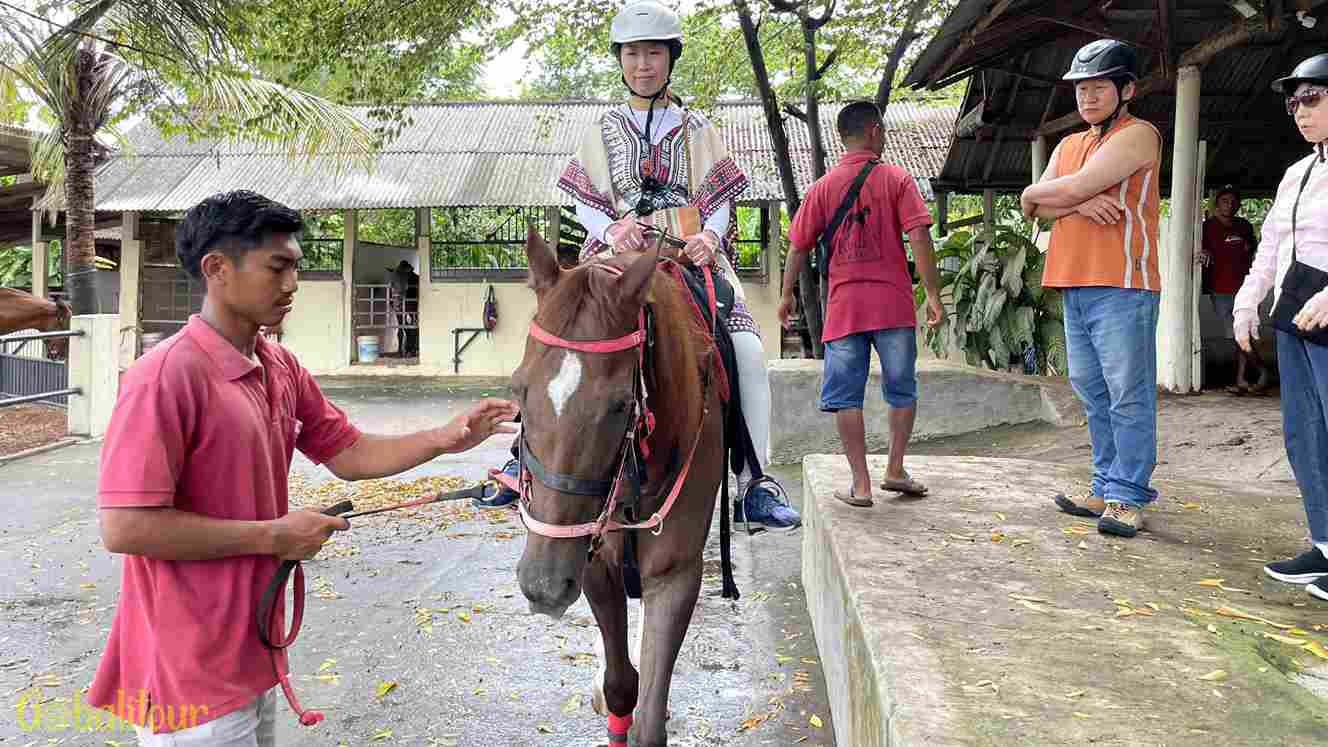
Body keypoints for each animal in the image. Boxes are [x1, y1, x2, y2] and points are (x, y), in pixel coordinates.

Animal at [509, 228, 729, 747]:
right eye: (519, 390)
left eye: (620, 406)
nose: (543, 587)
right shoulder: (589, 562)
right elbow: (620, 686)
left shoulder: (675, 574)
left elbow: (648, 716)